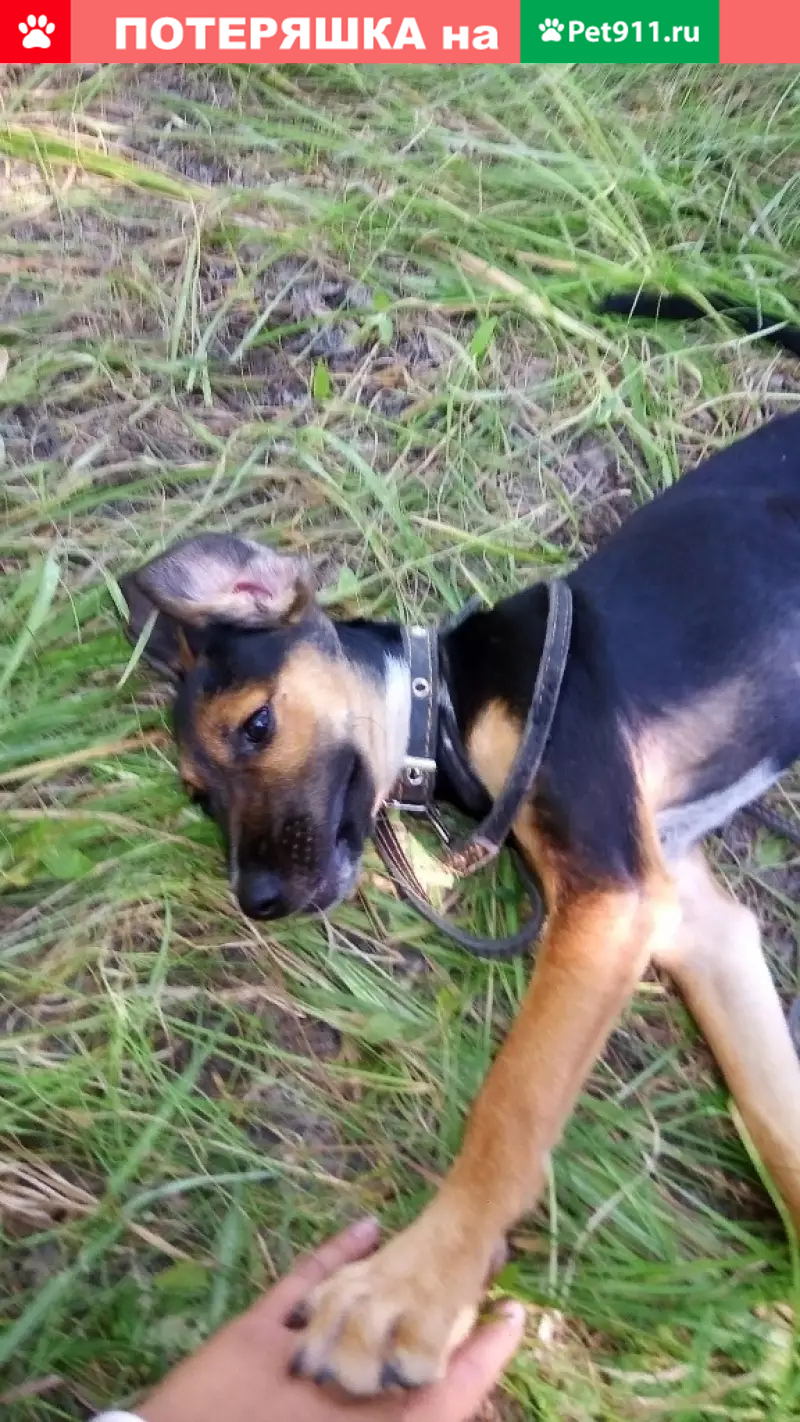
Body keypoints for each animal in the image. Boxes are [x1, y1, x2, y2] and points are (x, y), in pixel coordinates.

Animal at [121, 292, 800, 1397]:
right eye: (198, 795)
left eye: (256, 727)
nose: (255, 899)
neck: (441, 697)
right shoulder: (690, 917)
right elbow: (778, 1121)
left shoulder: (612, 894)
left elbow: (511, 1105)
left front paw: (409, 1289)